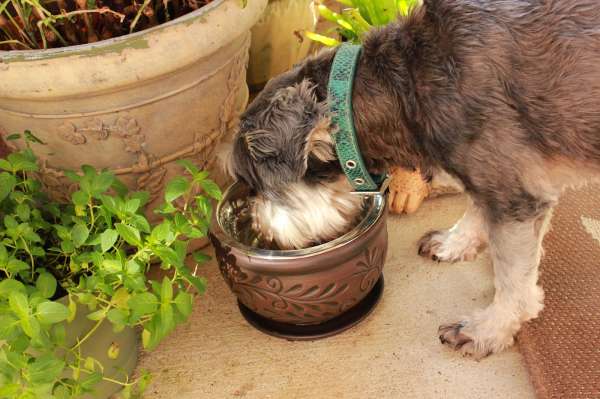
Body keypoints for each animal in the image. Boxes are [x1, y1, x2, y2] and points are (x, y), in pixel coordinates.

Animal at [227, 0, 600, 360]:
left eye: (254, 182)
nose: (258, 227)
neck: (406, 82)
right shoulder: (491, 177)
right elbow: (475, 208)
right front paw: (455, 243)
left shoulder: (513, 194)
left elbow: (512, 279)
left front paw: (487, 330)